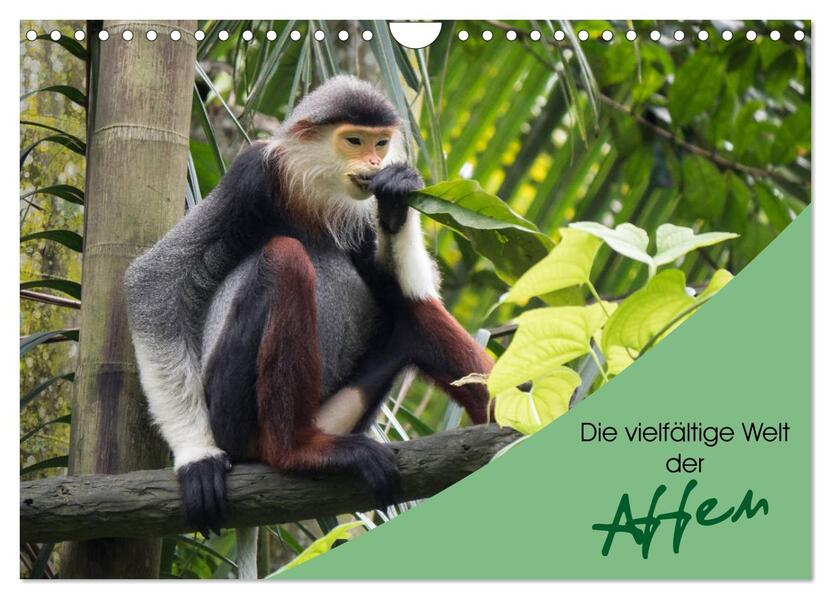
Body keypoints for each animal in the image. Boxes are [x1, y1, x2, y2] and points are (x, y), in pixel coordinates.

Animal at [124, 76, 493, 577]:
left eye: (380, 144)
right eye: (354, 141)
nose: (375, 163)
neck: (313, 193)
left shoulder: (358, 212)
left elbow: (405, 288)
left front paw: (397, 199)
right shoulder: (251, 175)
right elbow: (151, 283)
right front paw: (195, 458)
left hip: (339, 412)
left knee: (411, 313)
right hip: (234, 415)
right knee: (286, 258)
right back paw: (296, 451)